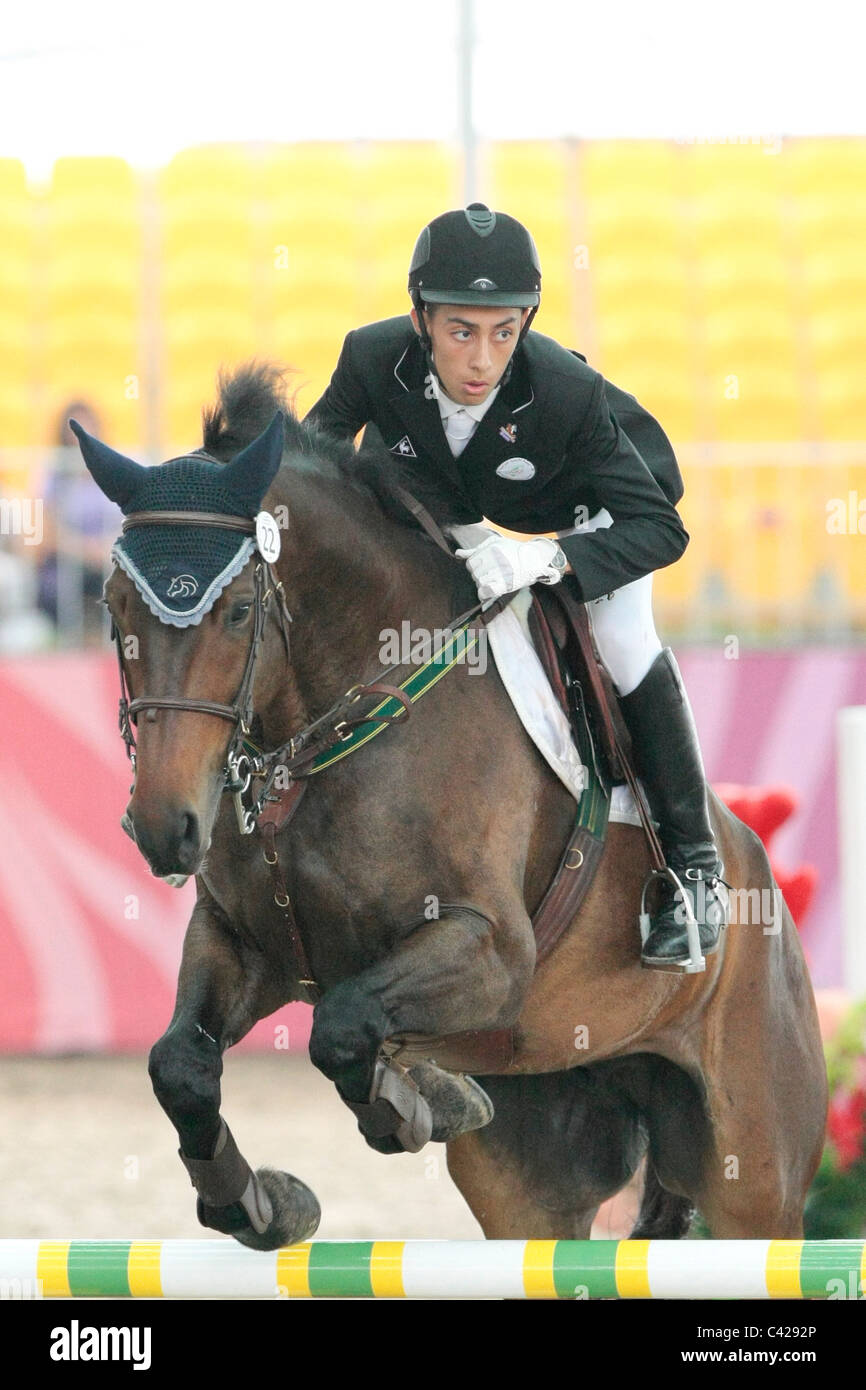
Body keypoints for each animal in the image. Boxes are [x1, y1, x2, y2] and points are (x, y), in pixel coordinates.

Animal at [72, 366, 828, 1251]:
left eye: (236, 612)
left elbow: (343, 1027)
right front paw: (263, 1204)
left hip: (756, 1184)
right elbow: (180, 1068)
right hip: (535, 1184)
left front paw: (421, 1101)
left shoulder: (491, 948)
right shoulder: (243, 941)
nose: (163, 829)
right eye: (113, 606)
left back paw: (691, 907)